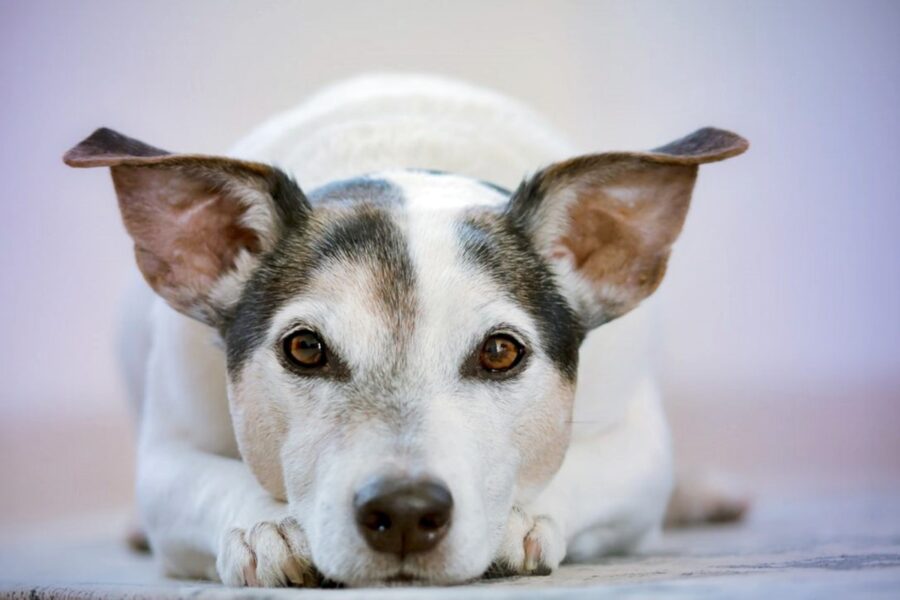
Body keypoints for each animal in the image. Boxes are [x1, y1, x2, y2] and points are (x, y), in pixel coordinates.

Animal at [63, 75, 748, 584]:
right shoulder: (166, 454)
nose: (405, 511)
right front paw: (267, 526)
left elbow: (583, 469)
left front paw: (518, 519)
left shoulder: (639, 448)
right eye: (304, 348)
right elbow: (205, 482)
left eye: (501, 352)